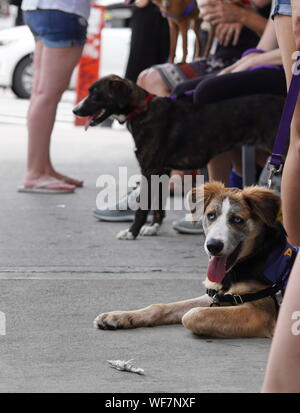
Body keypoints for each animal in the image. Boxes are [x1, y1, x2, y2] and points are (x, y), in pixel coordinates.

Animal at [72, 75, 284, 240]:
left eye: (95, 95)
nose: (75, 110)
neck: (142, 110)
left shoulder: (149, 170)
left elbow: (143, 207)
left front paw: (132, 232)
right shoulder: (162, 170)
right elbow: (158, 204)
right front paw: (153, 228)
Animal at [94, 183, 298, 338]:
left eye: (237, 220)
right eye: (211, 215)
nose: (213, 246)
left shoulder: (260, 313)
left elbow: (191, 315)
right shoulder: (215, 296)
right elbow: (161, 307)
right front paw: (118, 317)